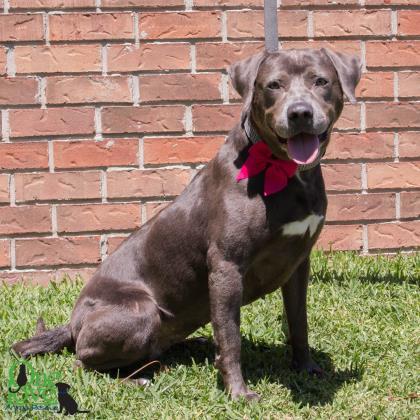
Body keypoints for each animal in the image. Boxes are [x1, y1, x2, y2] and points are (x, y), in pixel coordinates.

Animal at [13, 48, 360, 400]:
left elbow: (298, 322)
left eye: (321, 81)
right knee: (82, 363)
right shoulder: (226, 266)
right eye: (274, 85)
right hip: (140, 310)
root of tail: (73, 324)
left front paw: (307, 368)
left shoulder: (298, 263)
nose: (300, 113)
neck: (283, 170)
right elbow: (231, 336)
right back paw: (137, 378)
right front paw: (238, 393)